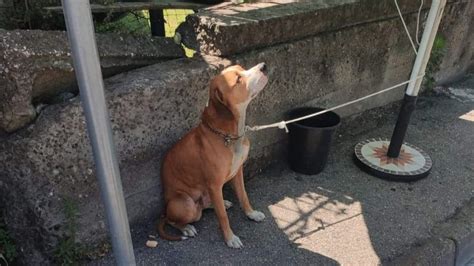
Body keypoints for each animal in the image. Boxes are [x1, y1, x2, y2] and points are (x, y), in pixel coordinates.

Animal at [158, 62, 268, 247]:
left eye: (242, 68)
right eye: (238, 80)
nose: (264, 66)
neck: (228, 136)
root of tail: (165, 209)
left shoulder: (237, 173)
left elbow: (244, 196)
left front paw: (251, 213)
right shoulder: (214, 184)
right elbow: (223, 216)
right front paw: (230, 238)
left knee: (209, 205)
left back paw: (222, 202)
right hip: (187, 205)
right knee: (174, 220)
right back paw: (186, 228)